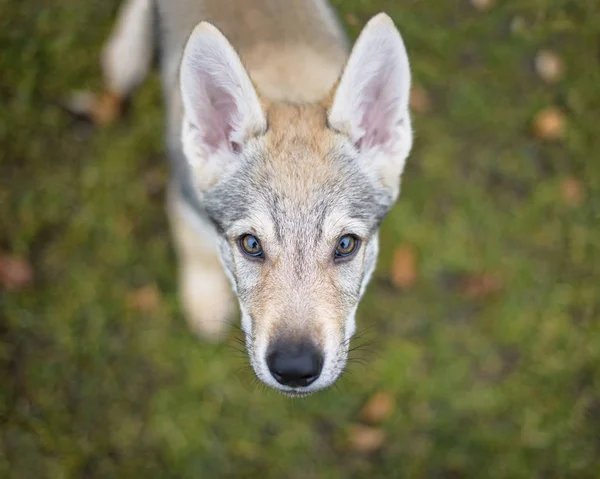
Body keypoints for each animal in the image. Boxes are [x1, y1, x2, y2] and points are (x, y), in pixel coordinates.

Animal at [74, 0, 412, 398]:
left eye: (346, 244)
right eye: (251, 244)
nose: (294, 368)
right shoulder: (186, 204)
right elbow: (197, 252)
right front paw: (204, 301)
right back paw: (125, 52)